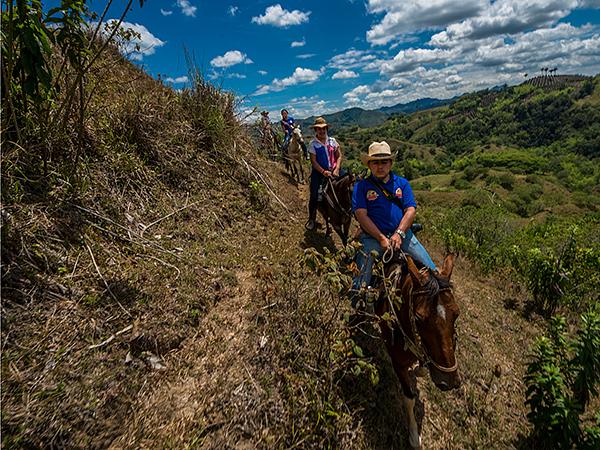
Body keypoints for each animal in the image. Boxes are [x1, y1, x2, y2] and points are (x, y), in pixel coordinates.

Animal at [376, 253, 460, 446]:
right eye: (418, 318)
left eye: (457, 314)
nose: (449, 381)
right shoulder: (398, 363)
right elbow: (409, 398)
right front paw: (414, 434)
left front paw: (419, 370)